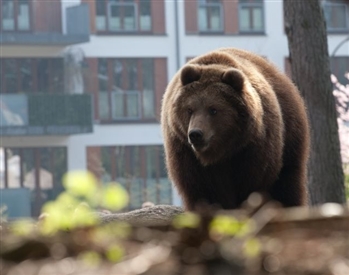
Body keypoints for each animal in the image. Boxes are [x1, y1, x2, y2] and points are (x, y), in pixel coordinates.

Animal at [159, 48, 308, 211]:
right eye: (190, 109)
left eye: (213, 110)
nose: (195, 134)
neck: (221, 152)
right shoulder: (186, 154)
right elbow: (204, 190)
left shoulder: (253, 149)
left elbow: (252, 185)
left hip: (290, 138)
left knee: (288, 182)